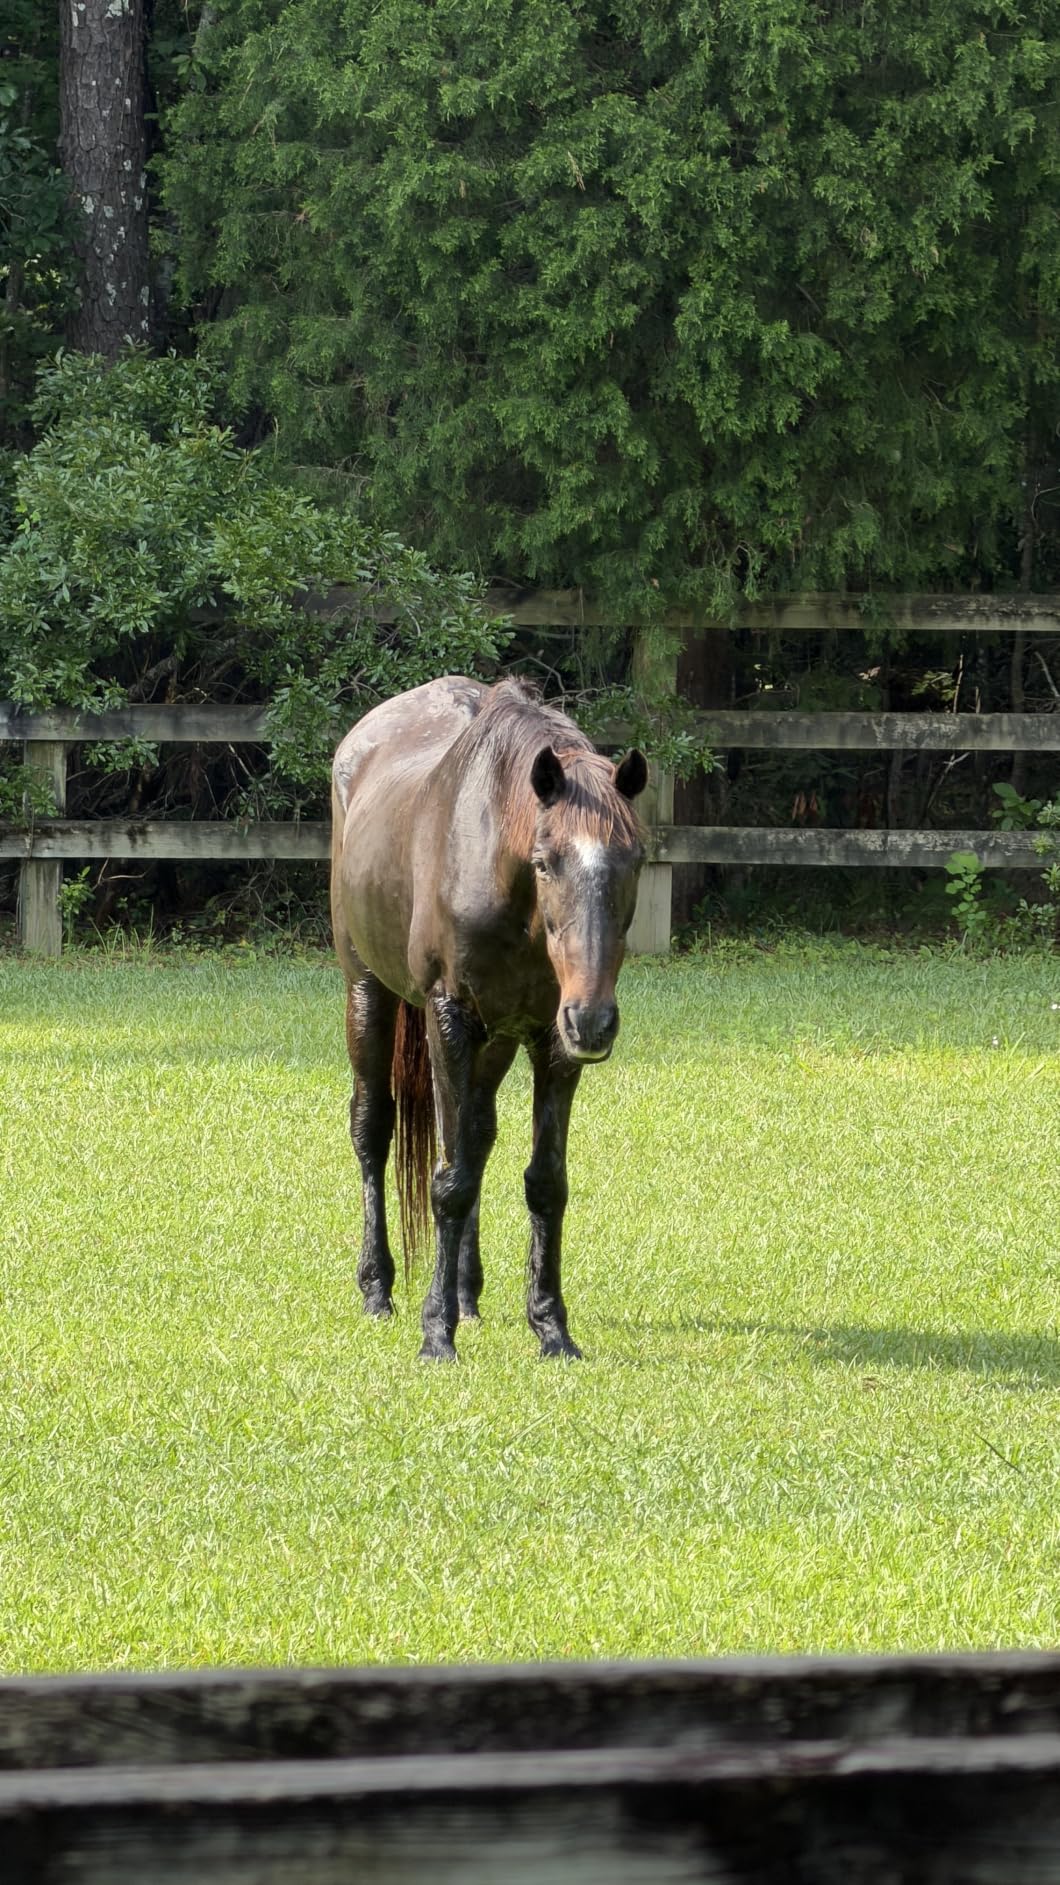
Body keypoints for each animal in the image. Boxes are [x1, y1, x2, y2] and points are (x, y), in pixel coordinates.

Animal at [330, 676, 647, 1361]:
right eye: (546, 860)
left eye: (634, 860)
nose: (595, 1022)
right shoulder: (449, 1018)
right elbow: (449, 1181)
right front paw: (435, 1334)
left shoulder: (550, 1039)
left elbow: (543, 1180)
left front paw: (551, 1327)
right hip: (368, 992)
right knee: (373, 1129)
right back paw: (378, 1289)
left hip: (494, 1042)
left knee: (473, 1136)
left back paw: (466, 1294)